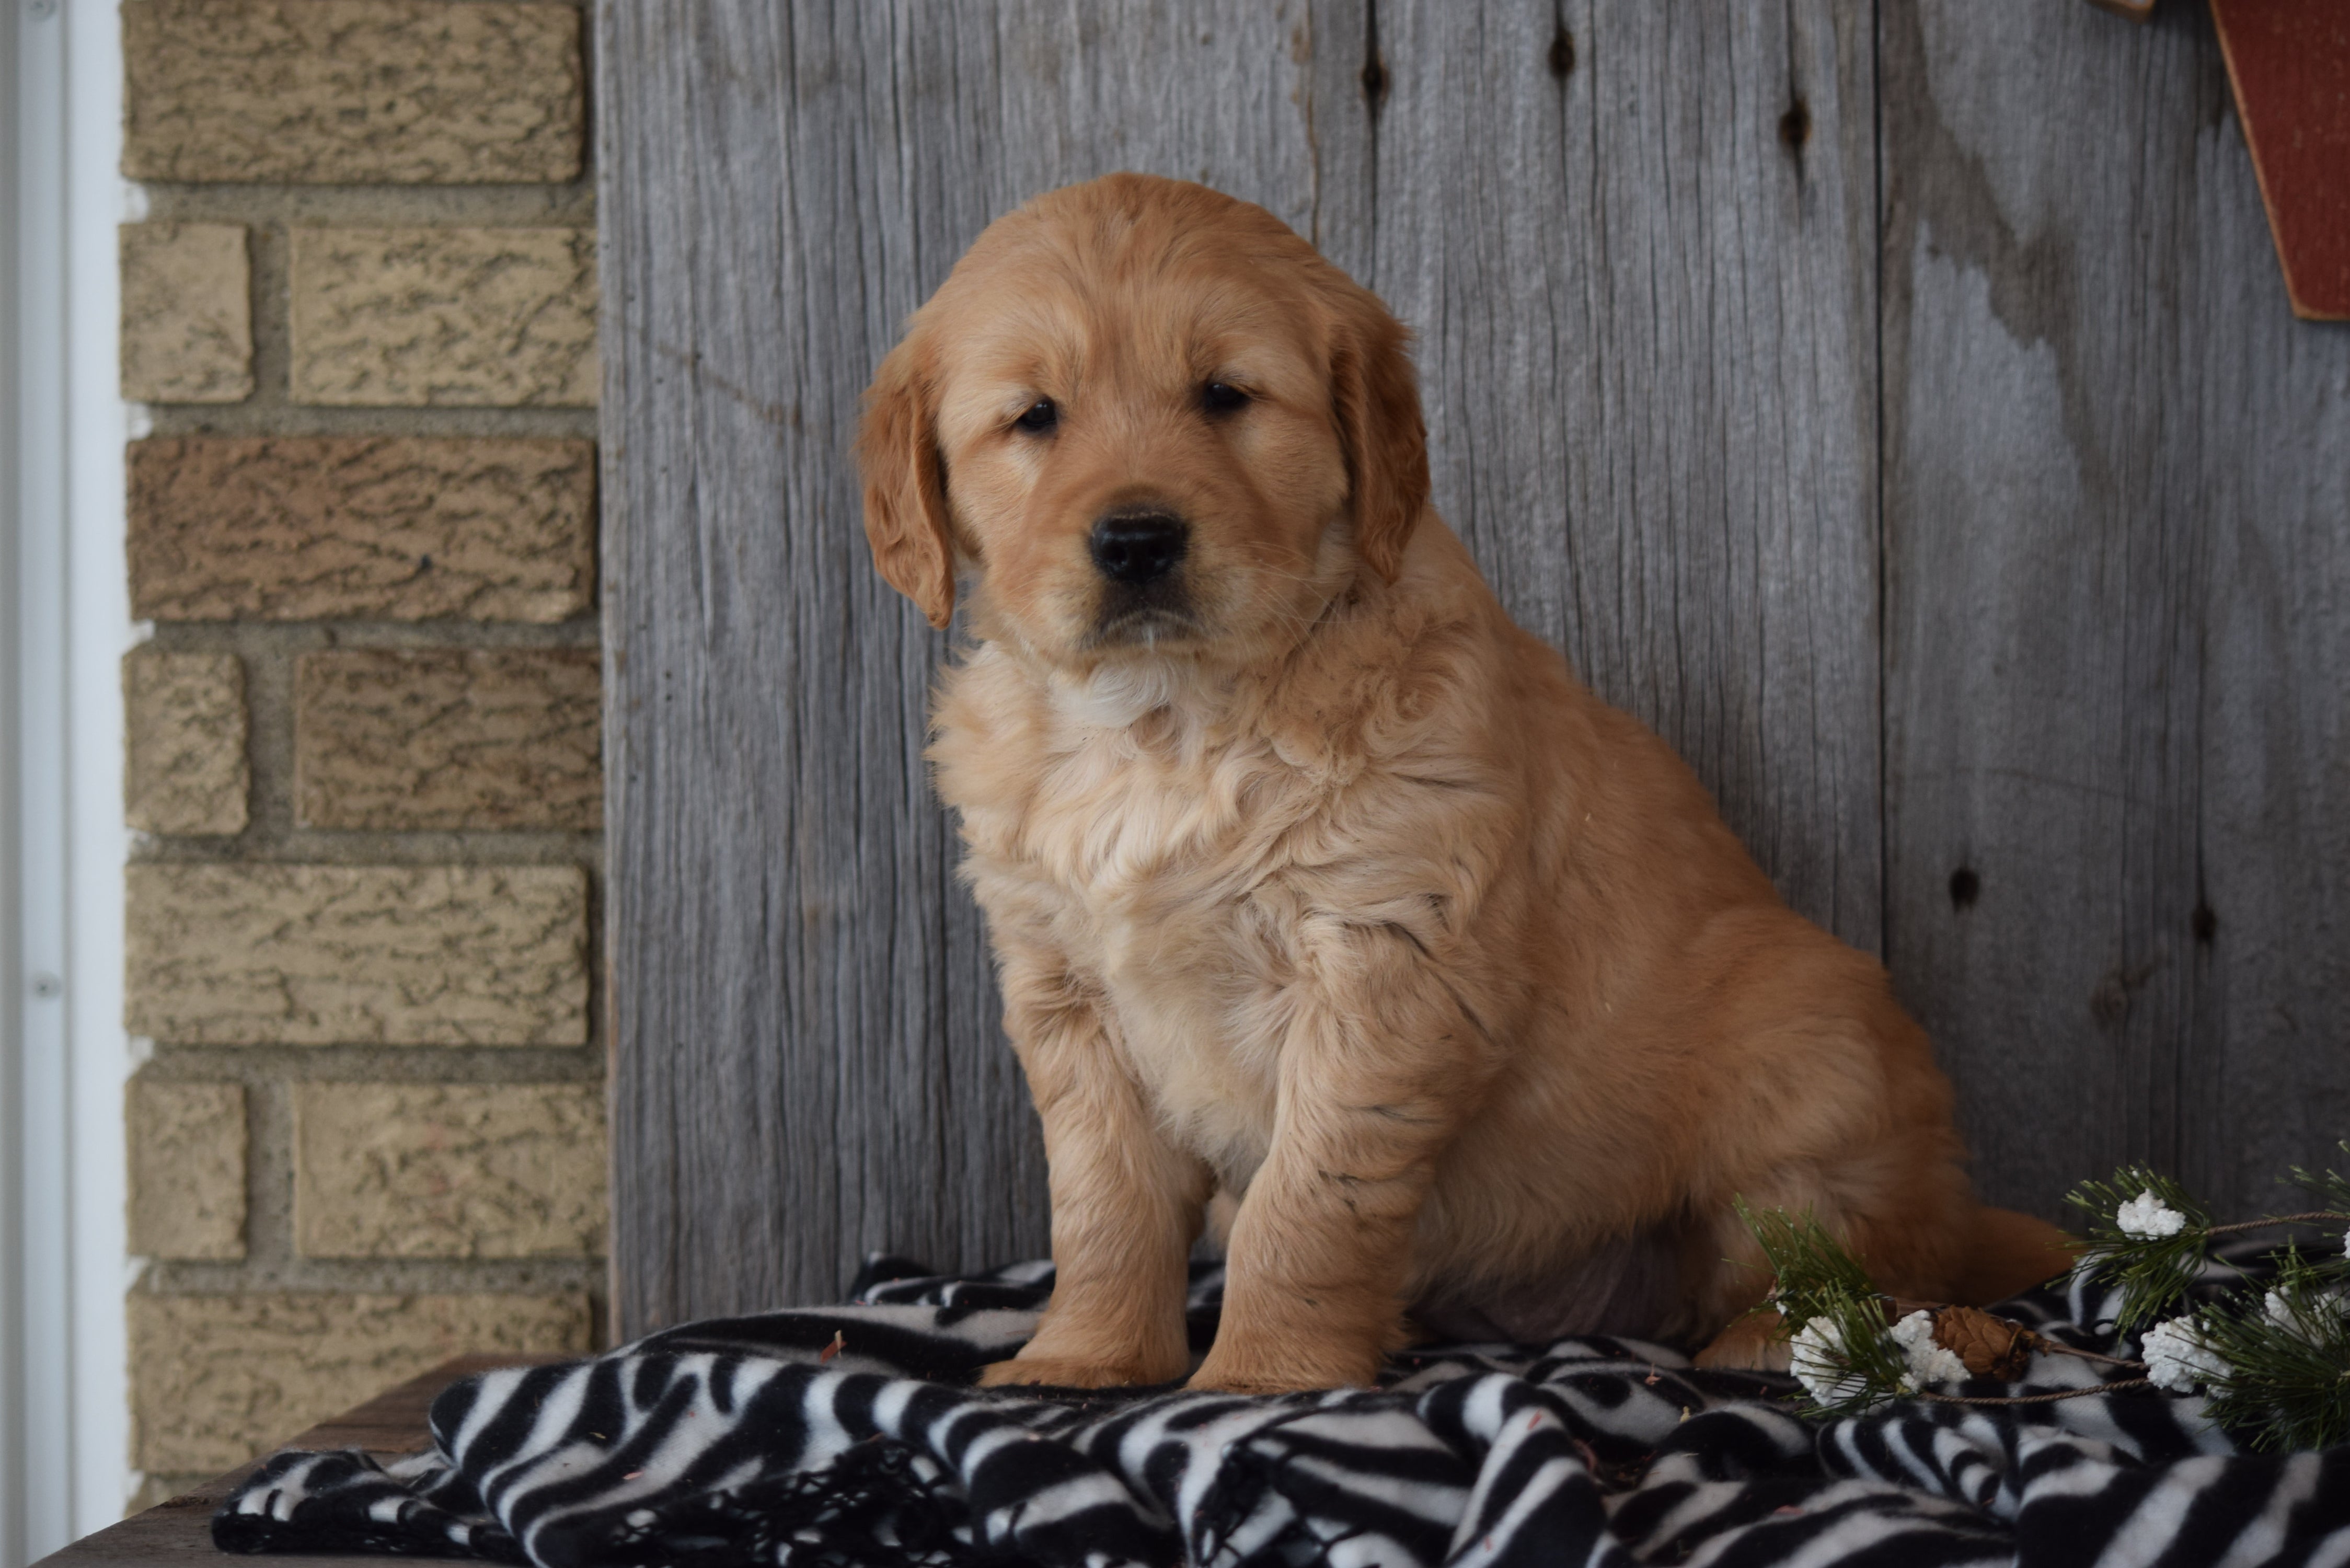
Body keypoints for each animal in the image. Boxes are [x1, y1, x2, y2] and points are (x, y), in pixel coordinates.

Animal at [855, 175, 2068, 1401]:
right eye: (1034, 418)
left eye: (1225, 395)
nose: (1138, 540)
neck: (1166, 723)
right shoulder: (1067, 991)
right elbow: (1102, 1206)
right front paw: (1082, 1359)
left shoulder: (1383, 965)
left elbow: (1304, 1206)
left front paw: (1263, 1376)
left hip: (1810, 1060)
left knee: (1853, 1257)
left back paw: (1776, 1336)